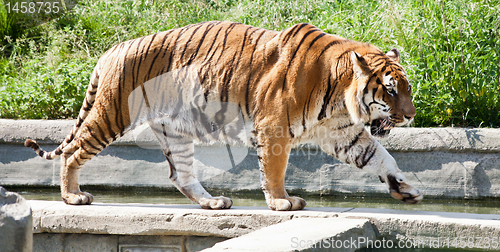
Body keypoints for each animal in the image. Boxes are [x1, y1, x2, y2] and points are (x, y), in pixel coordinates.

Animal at [23, 21, 422, 211]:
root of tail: (112, 49)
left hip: (174, 132)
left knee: (180, 175)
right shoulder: (274, 127)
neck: (341, 95)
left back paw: (213, 202)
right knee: (74, 151)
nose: (410, 117)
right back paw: (72, 197)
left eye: (406, 88)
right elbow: (274, 169)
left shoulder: (341, 132)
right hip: (112, 114)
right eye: (390, 90)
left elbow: (380, 156)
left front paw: (407, 188)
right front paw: (282, 202)